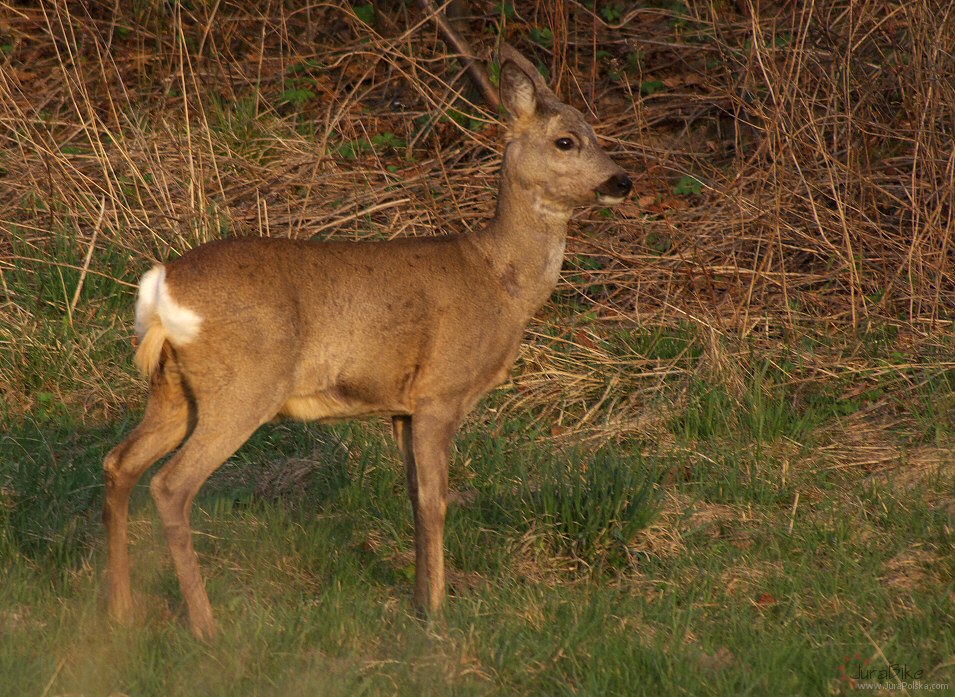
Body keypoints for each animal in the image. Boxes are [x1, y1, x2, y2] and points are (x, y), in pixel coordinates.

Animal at [102, 43, 636, 640]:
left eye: (594, 131)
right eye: (566, 140)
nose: (621, 181)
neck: (501, 279)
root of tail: (162, 286)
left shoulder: (401, 406)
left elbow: (413, 496)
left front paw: (419, 600)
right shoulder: (441, 391)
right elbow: (435, 501)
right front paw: (437, 613)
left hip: (173, 391)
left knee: (119, 464)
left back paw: (120, 612)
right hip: (243, 385)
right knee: (171, 485)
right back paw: (206, 627)